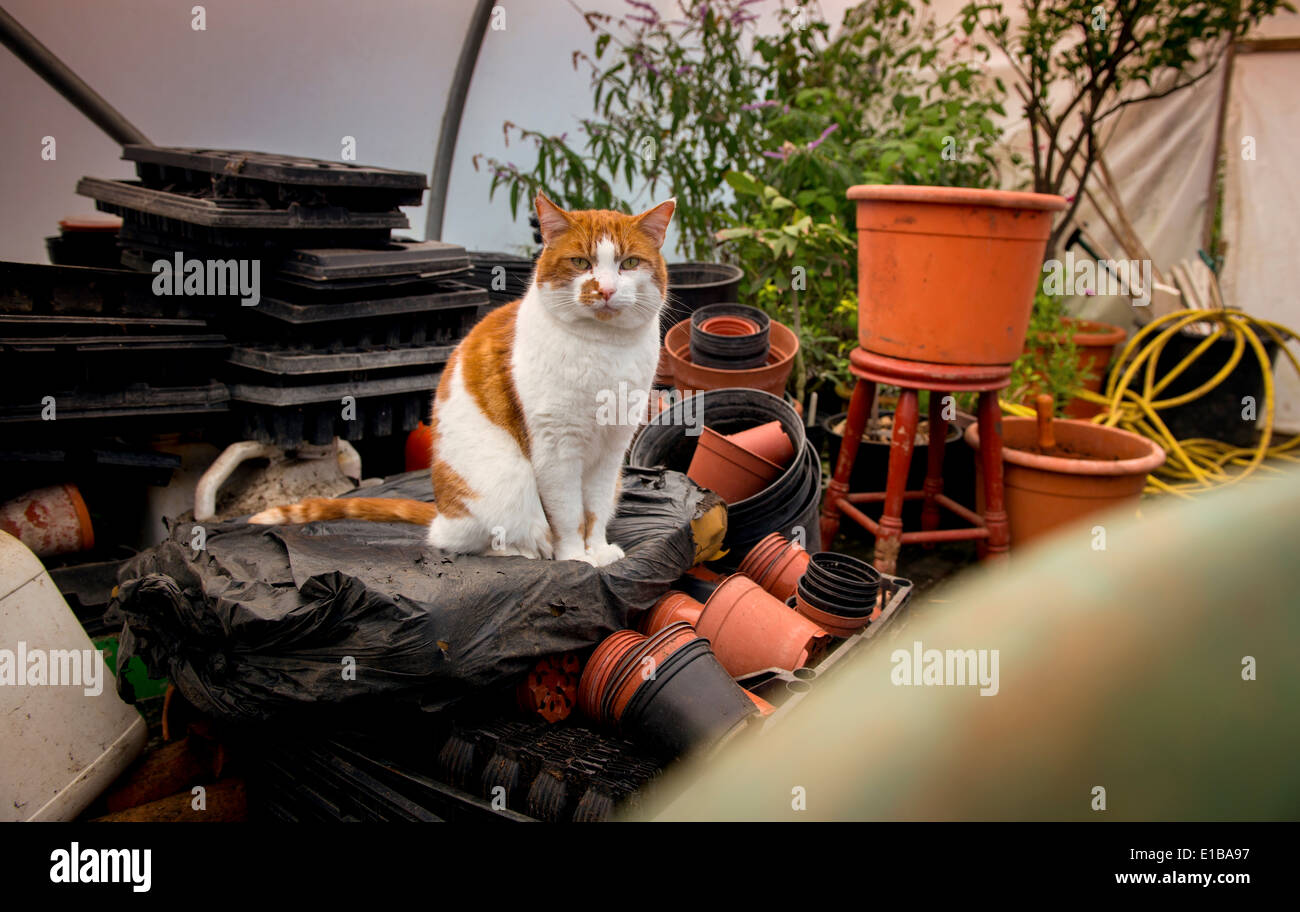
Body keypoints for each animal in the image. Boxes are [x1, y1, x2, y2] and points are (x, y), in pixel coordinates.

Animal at [244, 192, 676, 563]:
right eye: (581, 263)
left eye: (629, 264)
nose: (605, 290)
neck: (604, 349)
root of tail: (441, 513)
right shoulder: (556, 450)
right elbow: (568, 515)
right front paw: (575, 559)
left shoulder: (612, 450)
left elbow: (595, 509)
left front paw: (598, 551)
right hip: (506, 480)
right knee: (467, 541)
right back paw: (525, 551)